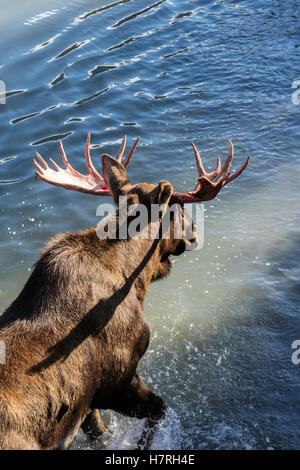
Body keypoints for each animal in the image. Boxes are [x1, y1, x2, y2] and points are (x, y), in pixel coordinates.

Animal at [0, 134, 248, 450]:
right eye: (178, 209)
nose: (194, 233)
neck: (137, 283)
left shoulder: (88, 401)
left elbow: (100, 432)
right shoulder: (118, 378)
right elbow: (158, 410)